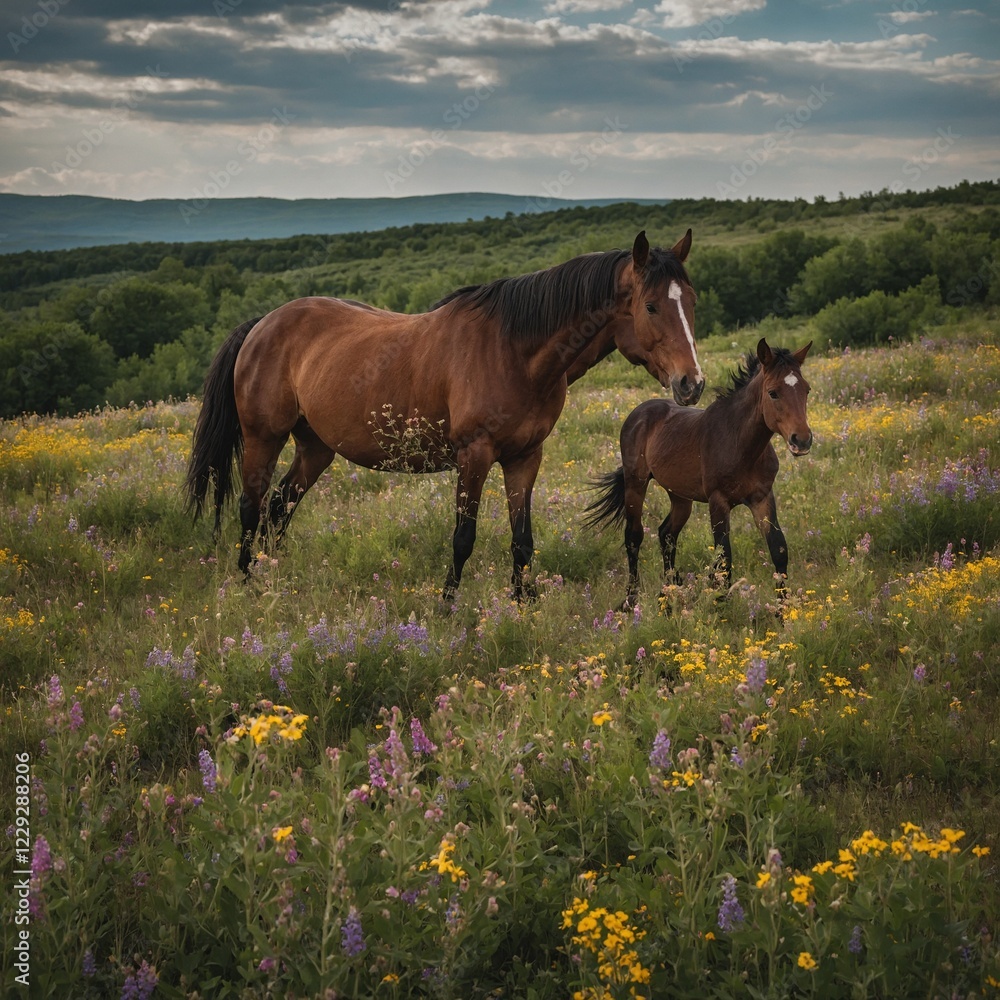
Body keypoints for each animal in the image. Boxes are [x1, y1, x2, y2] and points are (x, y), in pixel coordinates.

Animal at [185, 230, 706, 602]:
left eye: (692, 301)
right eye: (651, 306)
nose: (692, 384)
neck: (514, 351)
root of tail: (263, 323)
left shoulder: (525, 458)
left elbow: (522, 539)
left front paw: (526, 605)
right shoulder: (473, 457)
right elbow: (463, 537)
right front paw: (447, 607)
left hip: (315, 448)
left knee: (279, 506)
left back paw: (277, 577)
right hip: (263, 438)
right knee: (251, 506)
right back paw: (249, 584)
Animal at [584, 338, 812, 610]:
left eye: (806, 390)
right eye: (773, 392)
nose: (802, 440)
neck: (741, 445)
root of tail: (638, 413)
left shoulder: (762, 497)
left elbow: (778, 549)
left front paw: (783, 612)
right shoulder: (718, 501)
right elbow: (724, 559)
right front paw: (721, 608)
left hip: (680, 495)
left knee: (667, 534)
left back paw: (667, 595)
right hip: (635, 483)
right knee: (633, 536)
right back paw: (631, 599)